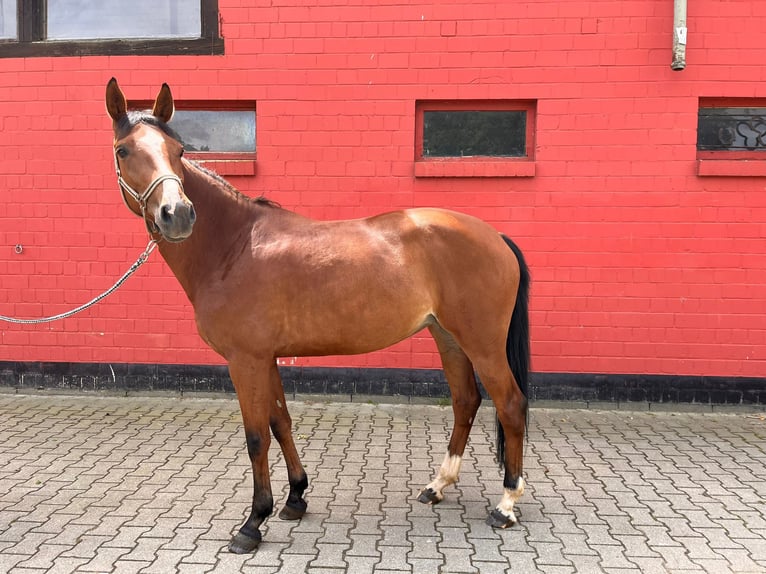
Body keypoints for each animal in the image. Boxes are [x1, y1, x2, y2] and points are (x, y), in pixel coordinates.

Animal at [105, 79, 532, 556]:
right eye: (124, 150)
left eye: (178, 150)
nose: (177, 214)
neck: (233, 245)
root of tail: (496, 236)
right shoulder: (266, 358)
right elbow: (281, 423)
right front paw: (295, 498)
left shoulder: (245, 361)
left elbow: (256, 437)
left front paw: (253, 523)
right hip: (449, 337)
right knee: (466, 401)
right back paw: (437, 485)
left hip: (483, 343)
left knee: (510, 405)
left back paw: (506, 504)